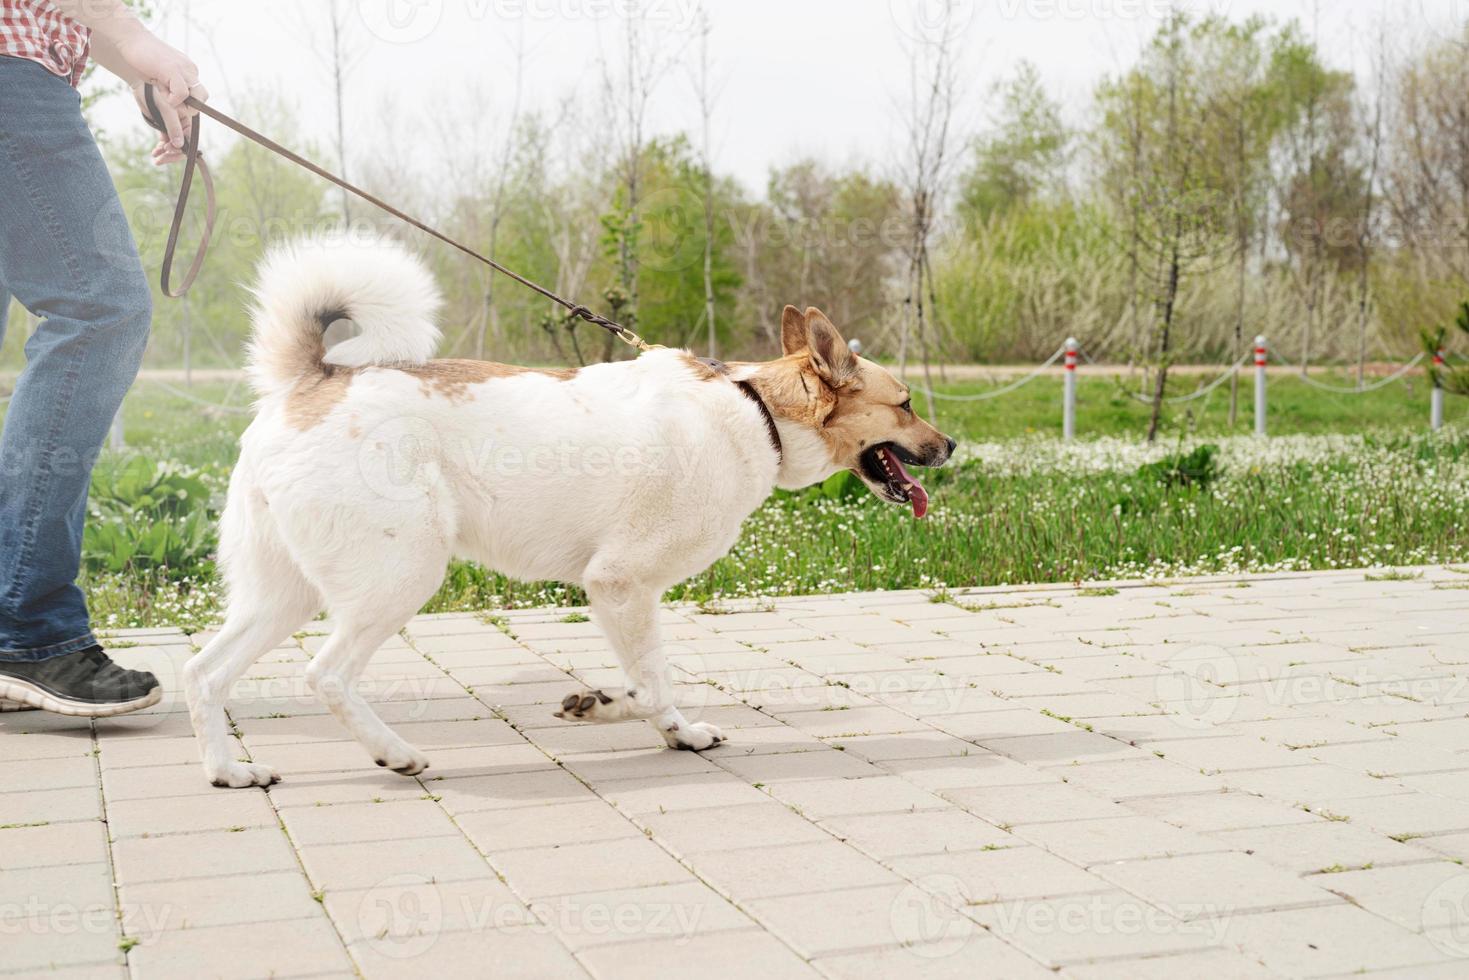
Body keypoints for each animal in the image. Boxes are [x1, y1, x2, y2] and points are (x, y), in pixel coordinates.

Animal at [180, 232, 951, 787]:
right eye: (907, 402)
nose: (950, 446)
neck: (755, 411)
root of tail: (311, 381)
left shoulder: (625, 593)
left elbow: (655, 685)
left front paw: (678, 735)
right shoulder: (619, 585)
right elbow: (650, 683)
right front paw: (611, 708)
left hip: (284, 595)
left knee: (204, 672)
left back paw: (228, 772)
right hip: (400, 577)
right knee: (326, 675)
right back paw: (395, 753)